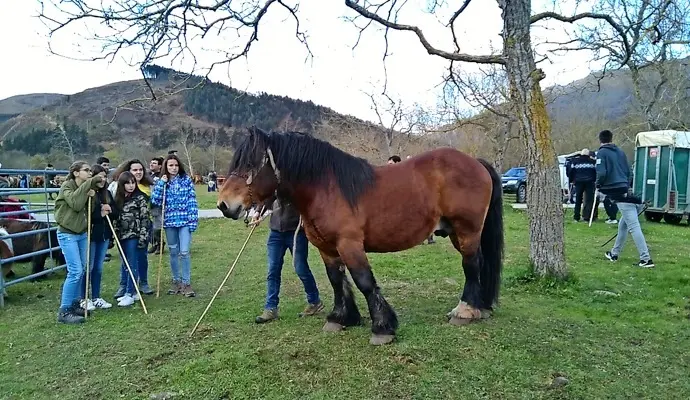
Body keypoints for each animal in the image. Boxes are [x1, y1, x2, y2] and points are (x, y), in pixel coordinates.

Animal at [216, 127, 504, 346]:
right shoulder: (327, 249)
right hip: (458, 233)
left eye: (250, 164)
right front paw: (341, 317)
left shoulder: (350, 245)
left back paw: (464, 311)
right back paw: (481, 307)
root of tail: (475, 162)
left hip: (467, 231)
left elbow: (364, 281)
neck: (326, 188)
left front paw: (382, 327)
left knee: (471, 265)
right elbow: (337, 281)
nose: (224, 204)